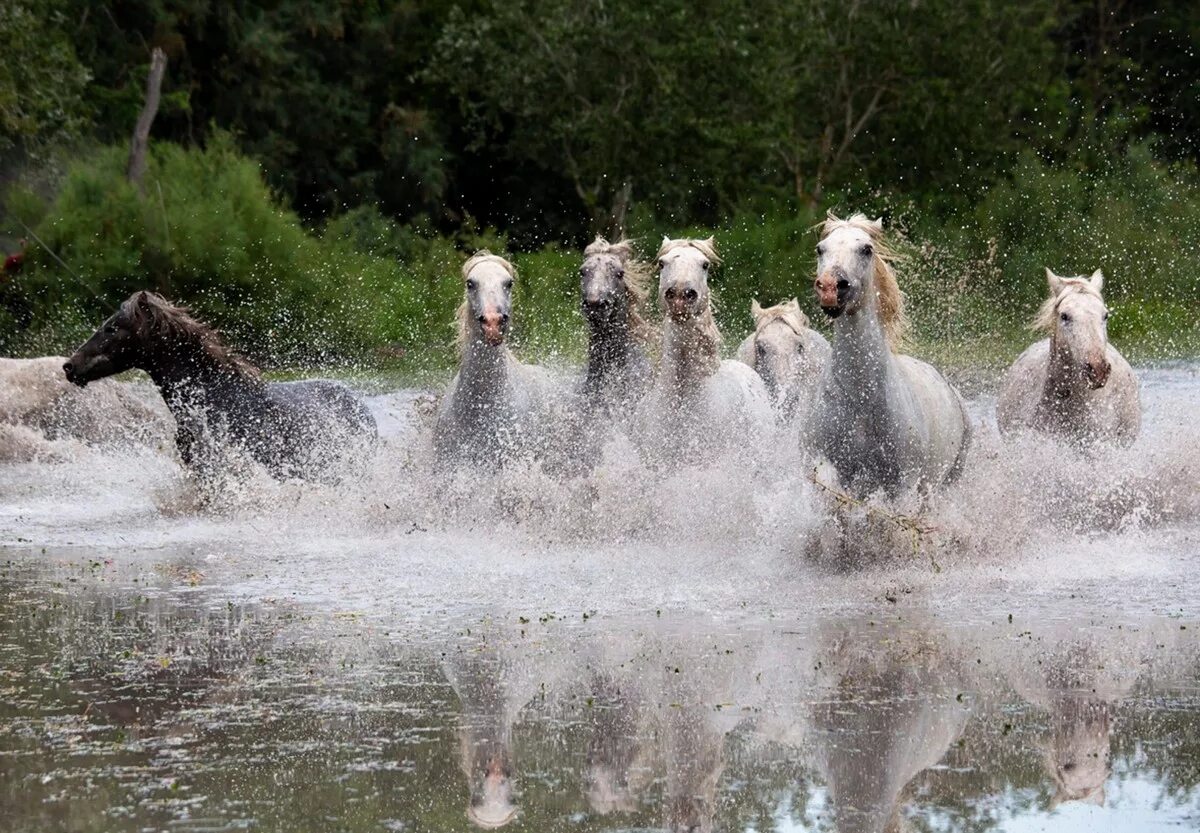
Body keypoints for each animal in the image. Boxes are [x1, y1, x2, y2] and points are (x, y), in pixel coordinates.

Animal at [801, 213, 969, 496]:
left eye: (866, 249)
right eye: (820, 248)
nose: (831, 288)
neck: (862, 397)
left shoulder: (904, 484)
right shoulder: (827, 466)